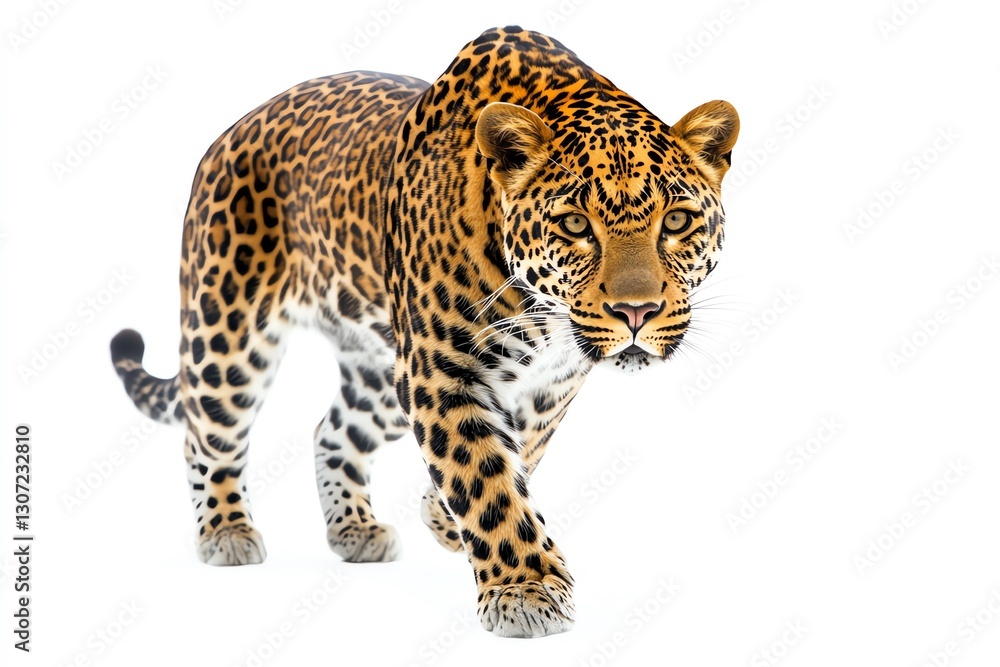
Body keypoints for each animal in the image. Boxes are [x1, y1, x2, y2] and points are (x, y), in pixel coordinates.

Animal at [110, 25, 738, 638]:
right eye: (574, 225)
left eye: (677, 221)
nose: (638, 311)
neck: (543, 314)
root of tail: (230, 131)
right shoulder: (440, 371)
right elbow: (484, 478)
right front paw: (525, 590)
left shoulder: (550, 385)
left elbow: (517, 454)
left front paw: (444, 520)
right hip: (230, 329)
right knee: (207, 431)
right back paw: (226, 531)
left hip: (379, 372)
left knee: (330, 431)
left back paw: (355, 530)